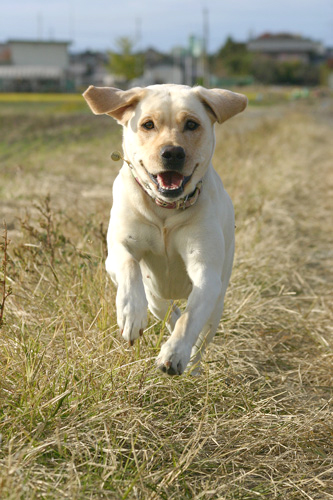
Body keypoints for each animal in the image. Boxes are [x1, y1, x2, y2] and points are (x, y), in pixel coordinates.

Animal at [81, 84, 245, 376]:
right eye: (148, 124)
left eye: (192, 124)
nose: (173, 153)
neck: (165, 212)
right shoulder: (116, 252)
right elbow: (129, 265)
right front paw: (131, 314)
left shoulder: (206, 273)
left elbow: (190, 320)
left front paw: (174, 353)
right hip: (155, 292)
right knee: (166, 309)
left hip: (218, 302)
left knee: (200, 335)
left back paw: (193, 367)